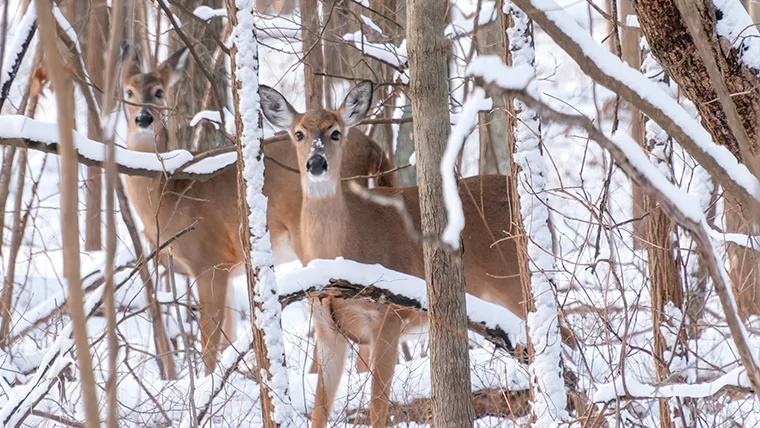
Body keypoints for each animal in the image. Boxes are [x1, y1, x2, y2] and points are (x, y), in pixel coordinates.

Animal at [121, 46, 394, 374]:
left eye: (159, 92)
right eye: (128, 91)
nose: (143, 118)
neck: (169, 192)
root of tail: (375, 149)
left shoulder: (208, 261)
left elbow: (210, 342)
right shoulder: (227, 270)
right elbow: (226, 335)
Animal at [258, 81, 572, 428]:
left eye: (335, 132)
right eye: (299, 133)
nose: (316, 164)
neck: (341, 250)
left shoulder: (389, 316)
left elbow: (378, 409)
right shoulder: (327, 330)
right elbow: (318, 412)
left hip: (516, 283)